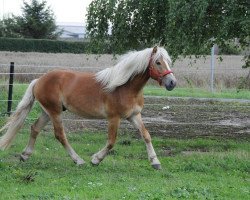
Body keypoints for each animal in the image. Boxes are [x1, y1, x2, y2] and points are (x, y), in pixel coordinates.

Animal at [0, 46, 176, 170]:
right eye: (158, 62)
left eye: (168, 61)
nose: (172, 83)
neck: (124, 87)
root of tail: (39, 80)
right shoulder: (114, 118)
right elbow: (111, 141)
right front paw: (95, 160)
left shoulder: (134, 115)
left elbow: (146, 135)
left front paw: (155, 162)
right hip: (55, 112)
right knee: (60, 135)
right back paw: (79, 160)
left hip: (47, 112)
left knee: (35, 128)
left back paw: (25, 155)